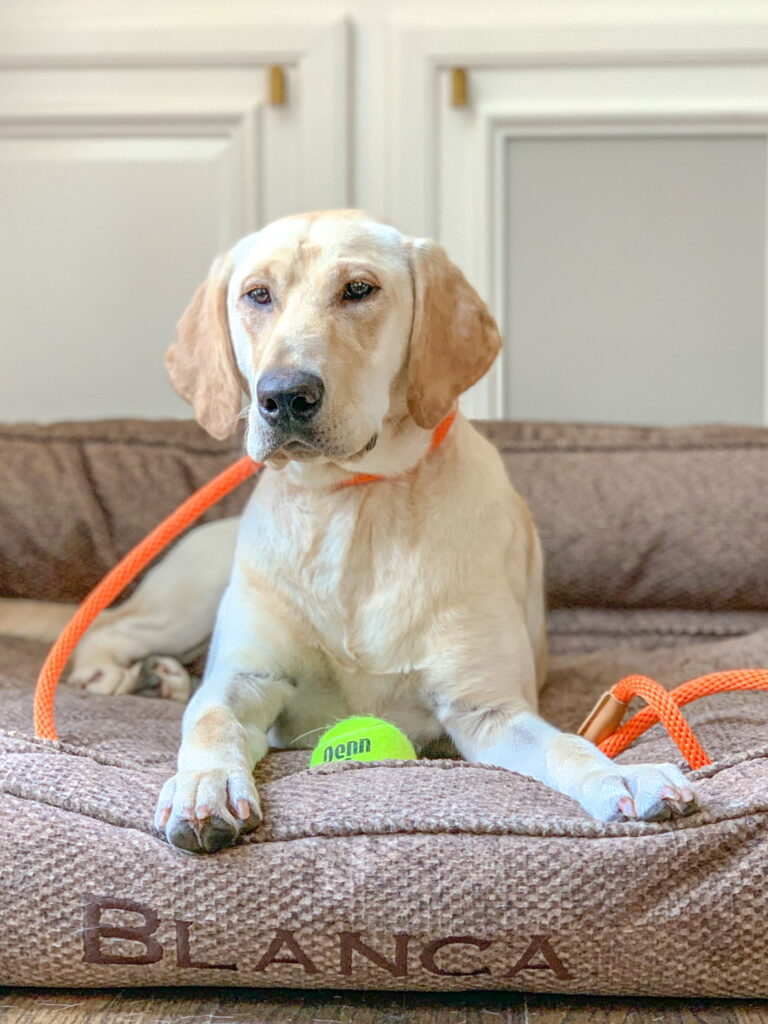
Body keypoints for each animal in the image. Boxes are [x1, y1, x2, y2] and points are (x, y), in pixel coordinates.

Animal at [0, 205, 696, 847]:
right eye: (257, 294)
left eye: (359, 290)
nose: (283, 396)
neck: (350, 507)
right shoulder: (245, 681)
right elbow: (211, 720)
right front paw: (203, 785)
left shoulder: (487, 709)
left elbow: (566, 745)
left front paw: (621, 775)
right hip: (190, 598)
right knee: (107, 627)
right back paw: (126, 672)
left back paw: (159, 676)